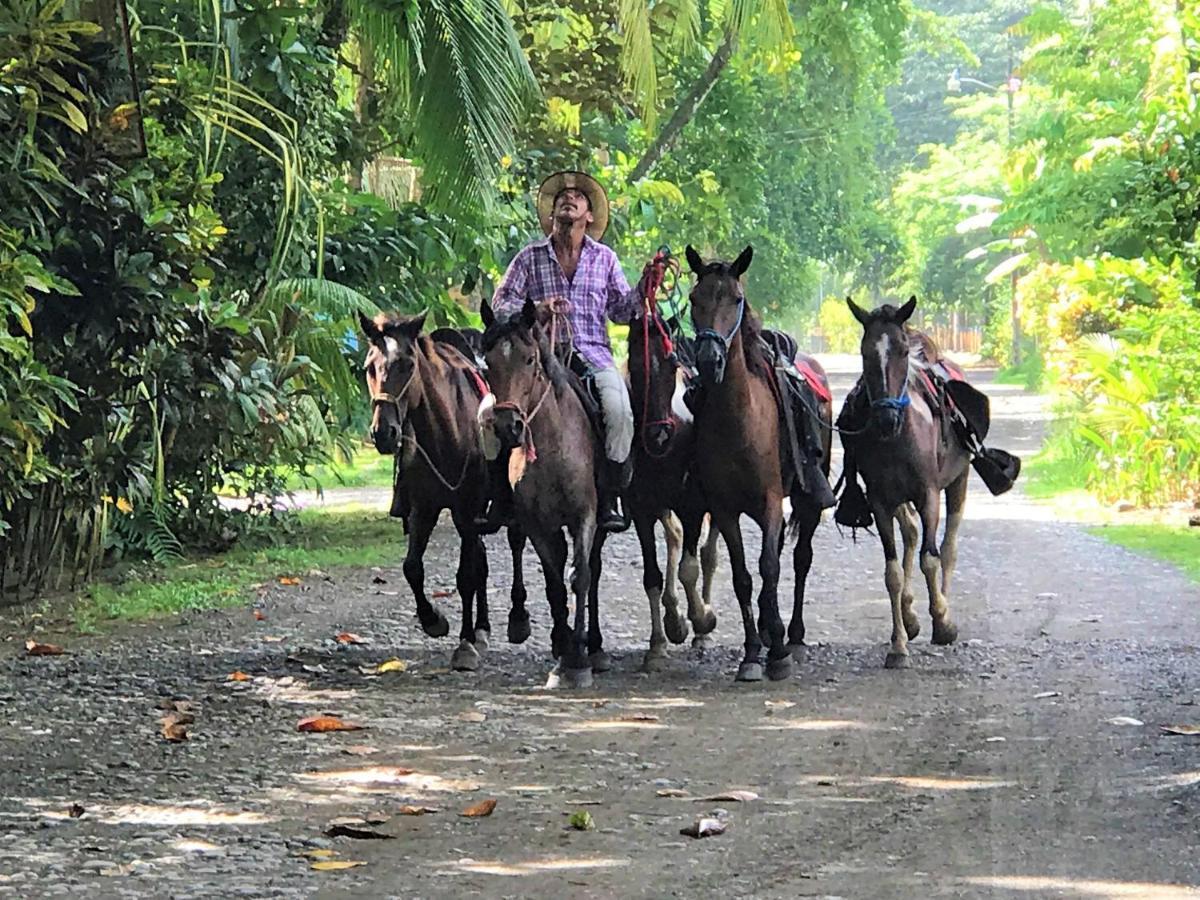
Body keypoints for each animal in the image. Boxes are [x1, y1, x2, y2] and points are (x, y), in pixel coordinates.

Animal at [364, 309, 496, 672]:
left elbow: (466, 575)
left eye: (408, 364)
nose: (384, 432)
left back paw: (480, 631)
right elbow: (412, 568)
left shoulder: (468, 509)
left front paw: (465, 645)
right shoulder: (423, 508)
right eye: (369, 367)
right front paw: (433, 620)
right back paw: (482, 628)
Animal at [480, 300, 609, 686]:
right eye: (488, 363)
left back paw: (594, 646)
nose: (508, 427)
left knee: (594, 570)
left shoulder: (584, 517)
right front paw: (564, 653)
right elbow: (554, 584)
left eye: (529, 360)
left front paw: (578, 660)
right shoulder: (537, 524)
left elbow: (580, 577)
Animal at [686, 247, 835, 681]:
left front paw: (778, 654)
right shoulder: (724, 509)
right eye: (694, 299)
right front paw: (753, 652)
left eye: (736, 298)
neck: (739, 420)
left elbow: (769, 567)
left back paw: (794, 637)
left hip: (805, 499)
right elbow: (742, 577)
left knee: (800, 559)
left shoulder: (769, 503)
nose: (710, 359)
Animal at [844, 297, 974, 672]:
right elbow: (892, 572)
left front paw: (942, 620)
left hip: (959, 481)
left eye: (902, 351)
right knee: (913, 534)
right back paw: (911, 614)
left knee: (947, 547)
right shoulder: (881, 502)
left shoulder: (928, 494)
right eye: (865, 353)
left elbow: (931, 559)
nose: (886, 418)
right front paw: (898, 644)